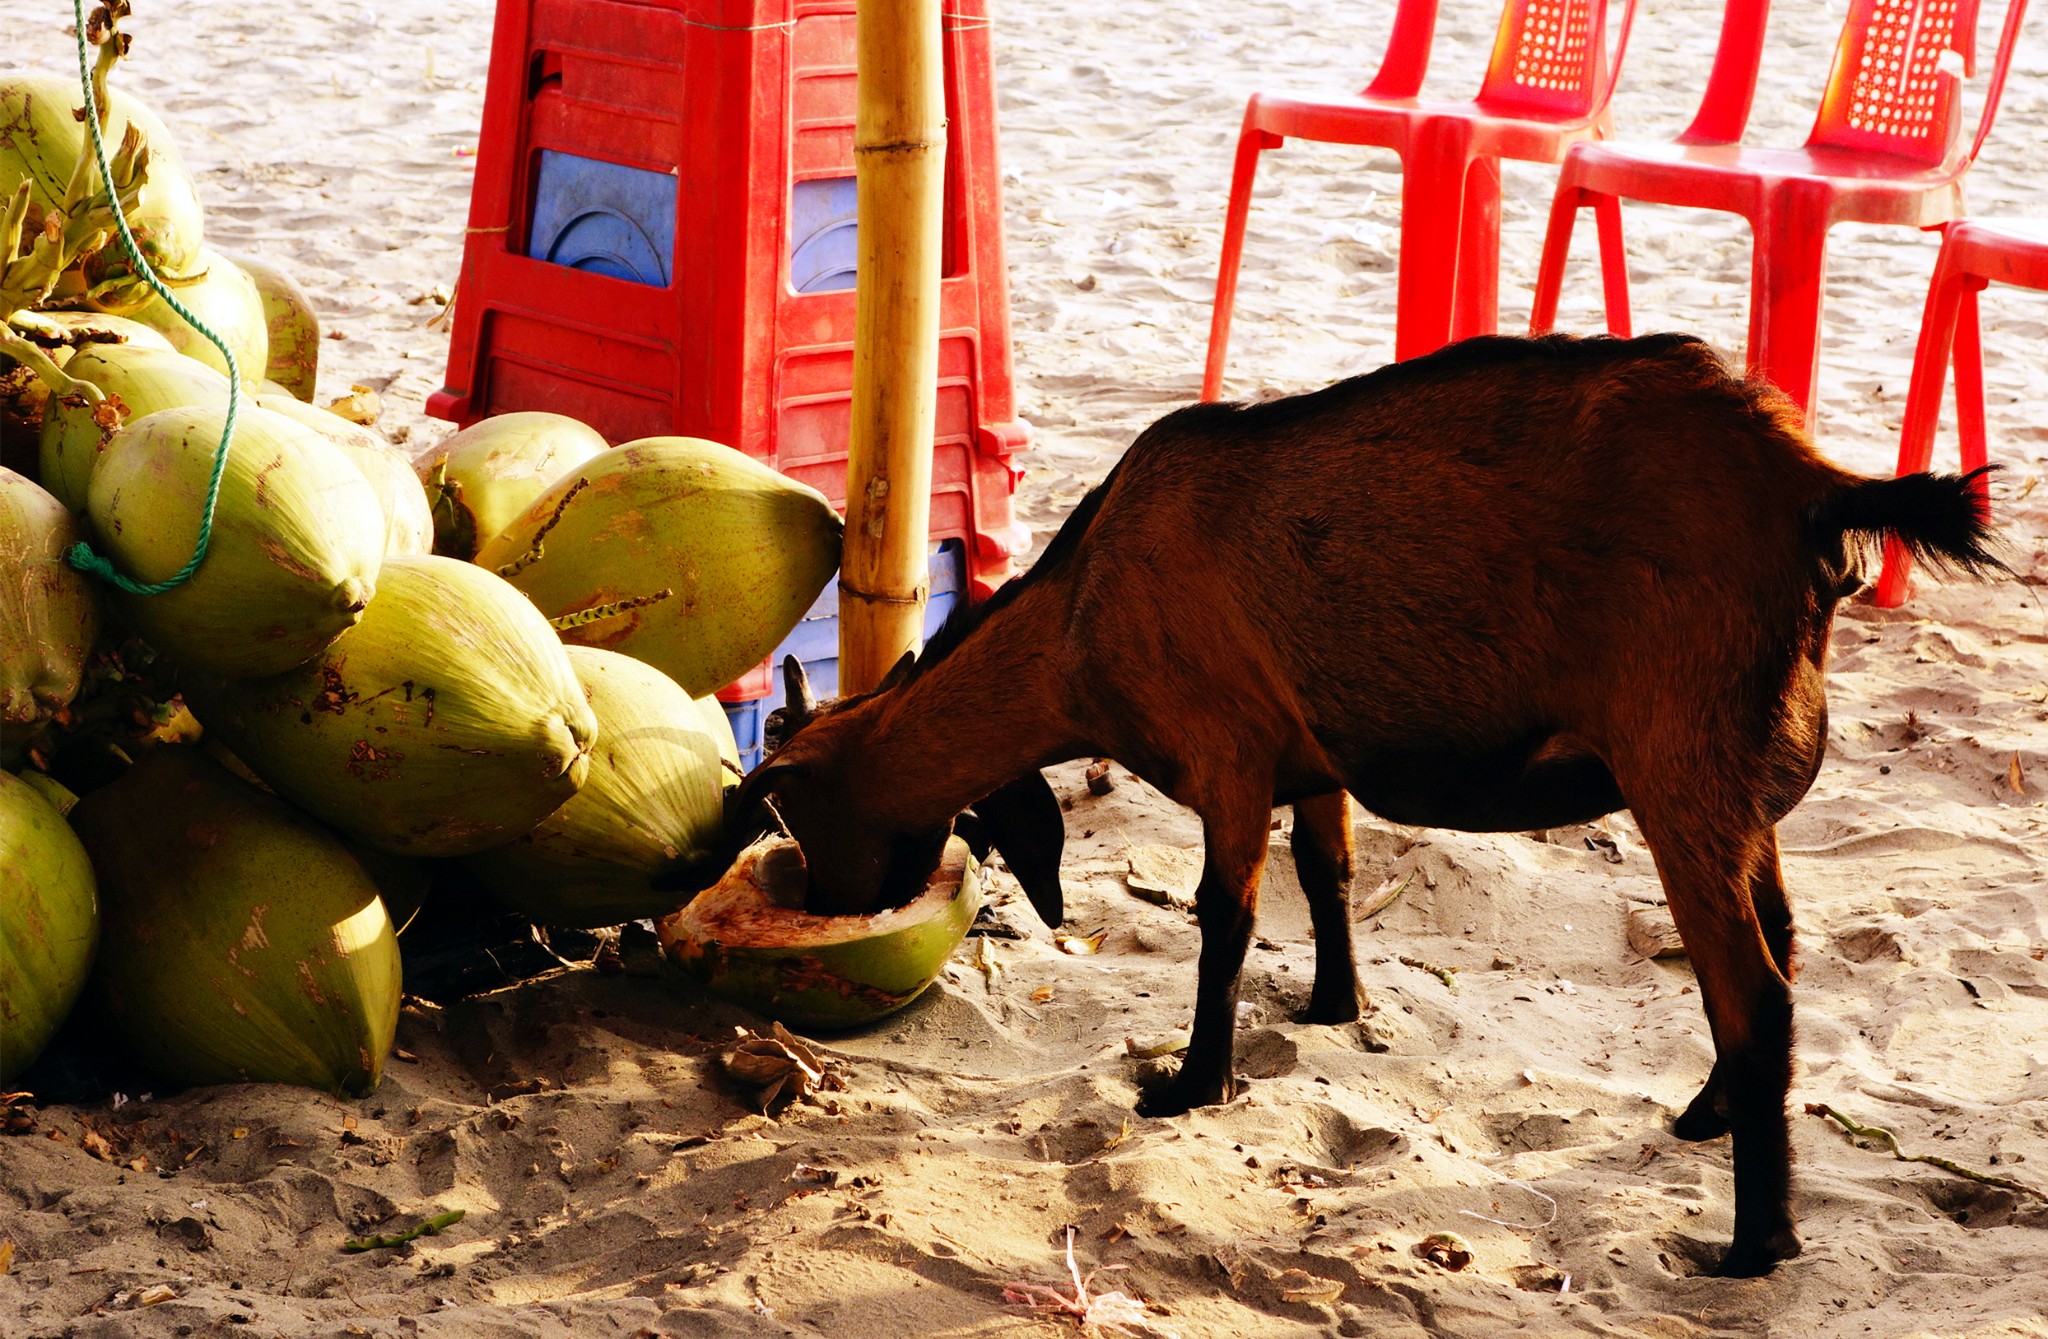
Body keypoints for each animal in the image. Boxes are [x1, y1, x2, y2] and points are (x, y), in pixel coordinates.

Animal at [737, 333, 1998, 1277]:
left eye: (798, 813)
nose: (824, 906)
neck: (1078, 615)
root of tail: (1807, 485)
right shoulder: (1310, 761)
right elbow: (1327, 873)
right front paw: (1331, 1008)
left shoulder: (1229, 753)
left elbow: (1223, 918)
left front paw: (1190, 1083)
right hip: (1743, 783)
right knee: (1777, 942)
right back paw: (1709, 1115)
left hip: (1678, 761)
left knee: (1752, 988)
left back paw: (1752, 1242)